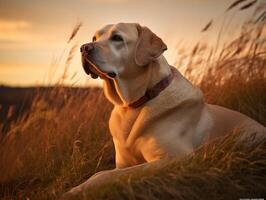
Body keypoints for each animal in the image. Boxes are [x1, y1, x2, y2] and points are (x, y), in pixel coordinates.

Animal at [60, 22, 266, 198]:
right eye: (94, 38)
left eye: (117, 38)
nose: (84, 48)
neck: (133, 105)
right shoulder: (124, 162)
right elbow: (107, 172)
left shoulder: (176, 157)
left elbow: (107, 174)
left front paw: (76, 190)